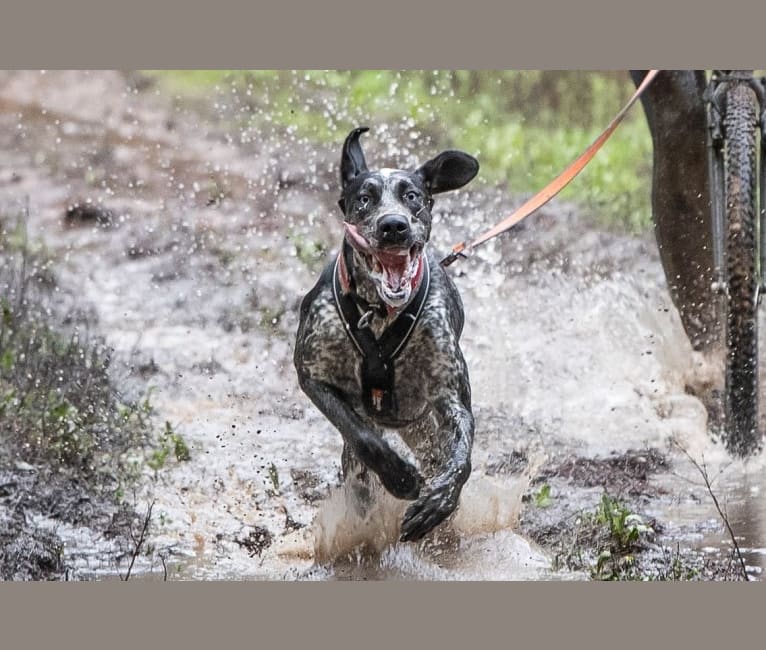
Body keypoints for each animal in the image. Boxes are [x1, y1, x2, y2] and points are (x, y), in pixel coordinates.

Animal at [294, 126, 480, 540]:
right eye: (364, 198)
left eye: (412, 196)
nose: (393, 225)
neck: (380, 313)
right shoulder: (312, 375)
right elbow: (363, 436)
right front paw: (399, 477)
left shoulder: (450, 394)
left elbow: (461, 457)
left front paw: (439, 501)